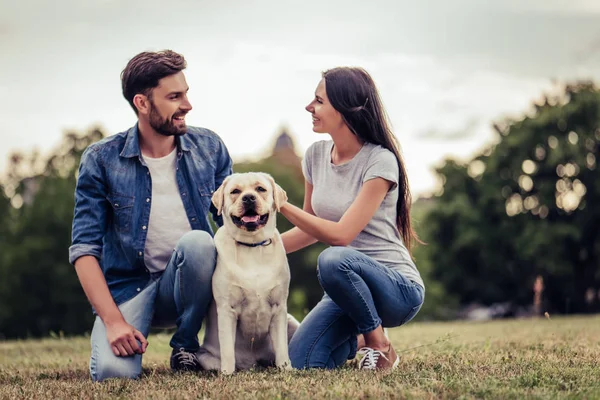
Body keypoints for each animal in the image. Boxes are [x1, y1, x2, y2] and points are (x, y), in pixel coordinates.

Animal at [197, 173, 298, 376]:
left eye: (260, 189)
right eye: (235, 191)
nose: (249, 198)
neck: (252, 246)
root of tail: (253, 364)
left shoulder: (279, 308)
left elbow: (282, 347)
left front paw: (286, 369)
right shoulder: (227, 308)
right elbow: (228, 349)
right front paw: (227, 373)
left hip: (292, 321)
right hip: (204, 357)